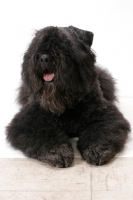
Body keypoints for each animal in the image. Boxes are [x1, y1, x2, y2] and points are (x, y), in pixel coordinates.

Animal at [5, 26, 130, 167]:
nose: (44, 58)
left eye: (64, 46)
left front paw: (97, 149)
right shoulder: (28, 120)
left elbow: (103, 130)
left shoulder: (105, 115)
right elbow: (44, 133)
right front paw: (57, 151)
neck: (66, 104)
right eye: (37, 45)